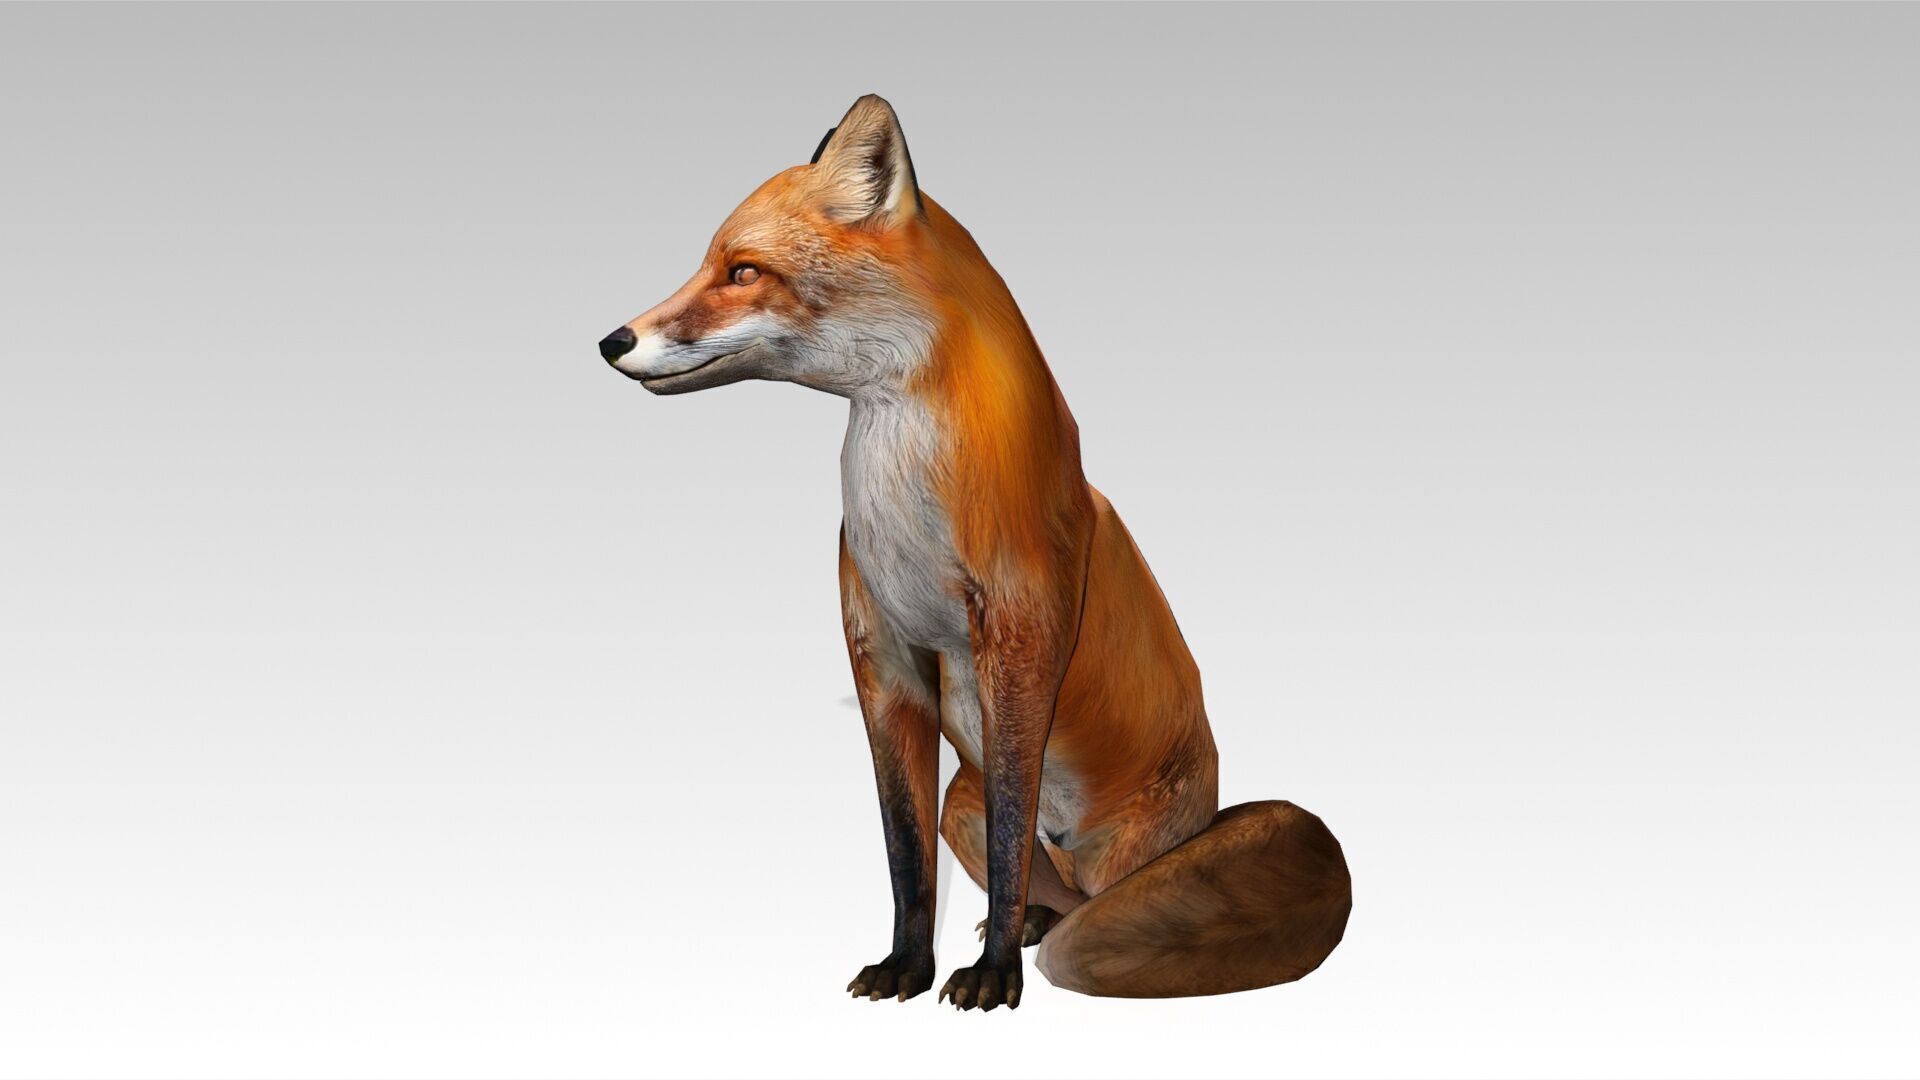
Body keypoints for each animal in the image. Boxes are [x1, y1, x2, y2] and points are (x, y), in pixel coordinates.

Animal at [597, 95, 1351, 1010]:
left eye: (742, 271)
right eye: (711, 262)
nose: (611, 341)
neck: (906, 520)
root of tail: (1216, 808)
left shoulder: (1020, 646)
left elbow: (1006, 836)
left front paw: (993, 979)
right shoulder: (885, 664)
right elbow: (905, 855)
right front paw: (907, 965)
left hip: (1120, 858)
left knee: (1071, 889)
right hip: (964, 796)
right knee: (1043, 891)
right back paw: (1023, 924)